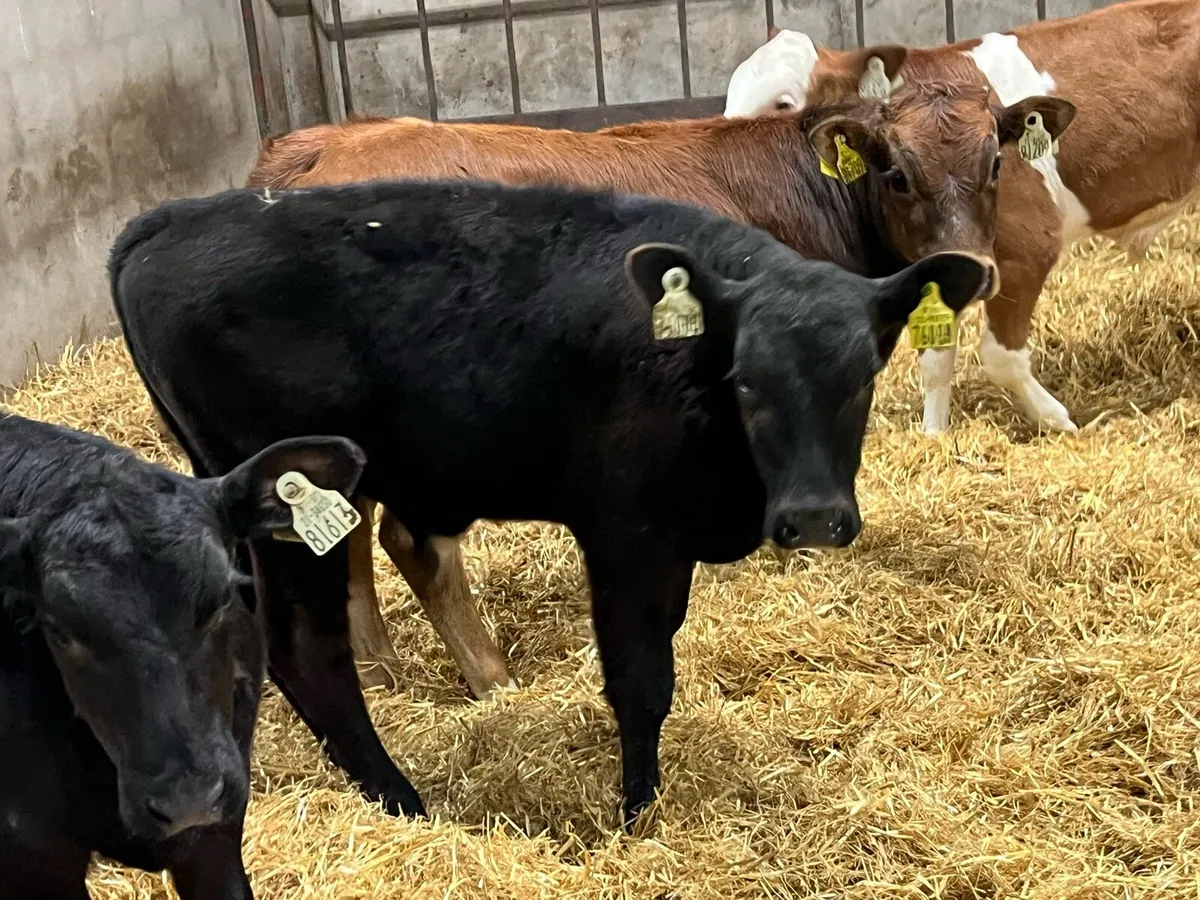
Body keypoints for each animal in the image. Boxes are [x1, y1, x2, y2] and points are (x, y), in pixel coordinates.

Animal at [110, 179, 993, 824]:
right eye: (747, 381)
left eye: (863, 377)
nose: (810, 517)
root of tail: (173, 219)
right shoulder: (627, 531)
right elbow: (640, 678)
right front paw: (637, 816)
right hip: (296, 507)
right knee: (307, 649)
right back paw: (403, 800)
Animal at [243, 67, 1075, 705]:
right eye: (896, 174)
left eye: (994, 164)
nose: (976, 272)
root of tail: (317, 147)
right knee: (410, 541)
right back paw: (493, 681)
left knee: (343, 535)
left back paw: (381, 669)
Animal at [724, 0, 1200, 436]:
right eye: (729, 97)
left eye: (782, 102)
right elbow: (935, 360)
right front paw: (934, 434)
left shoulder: (1027, 249)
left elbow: (1000, 356)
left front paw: (1057, 418)